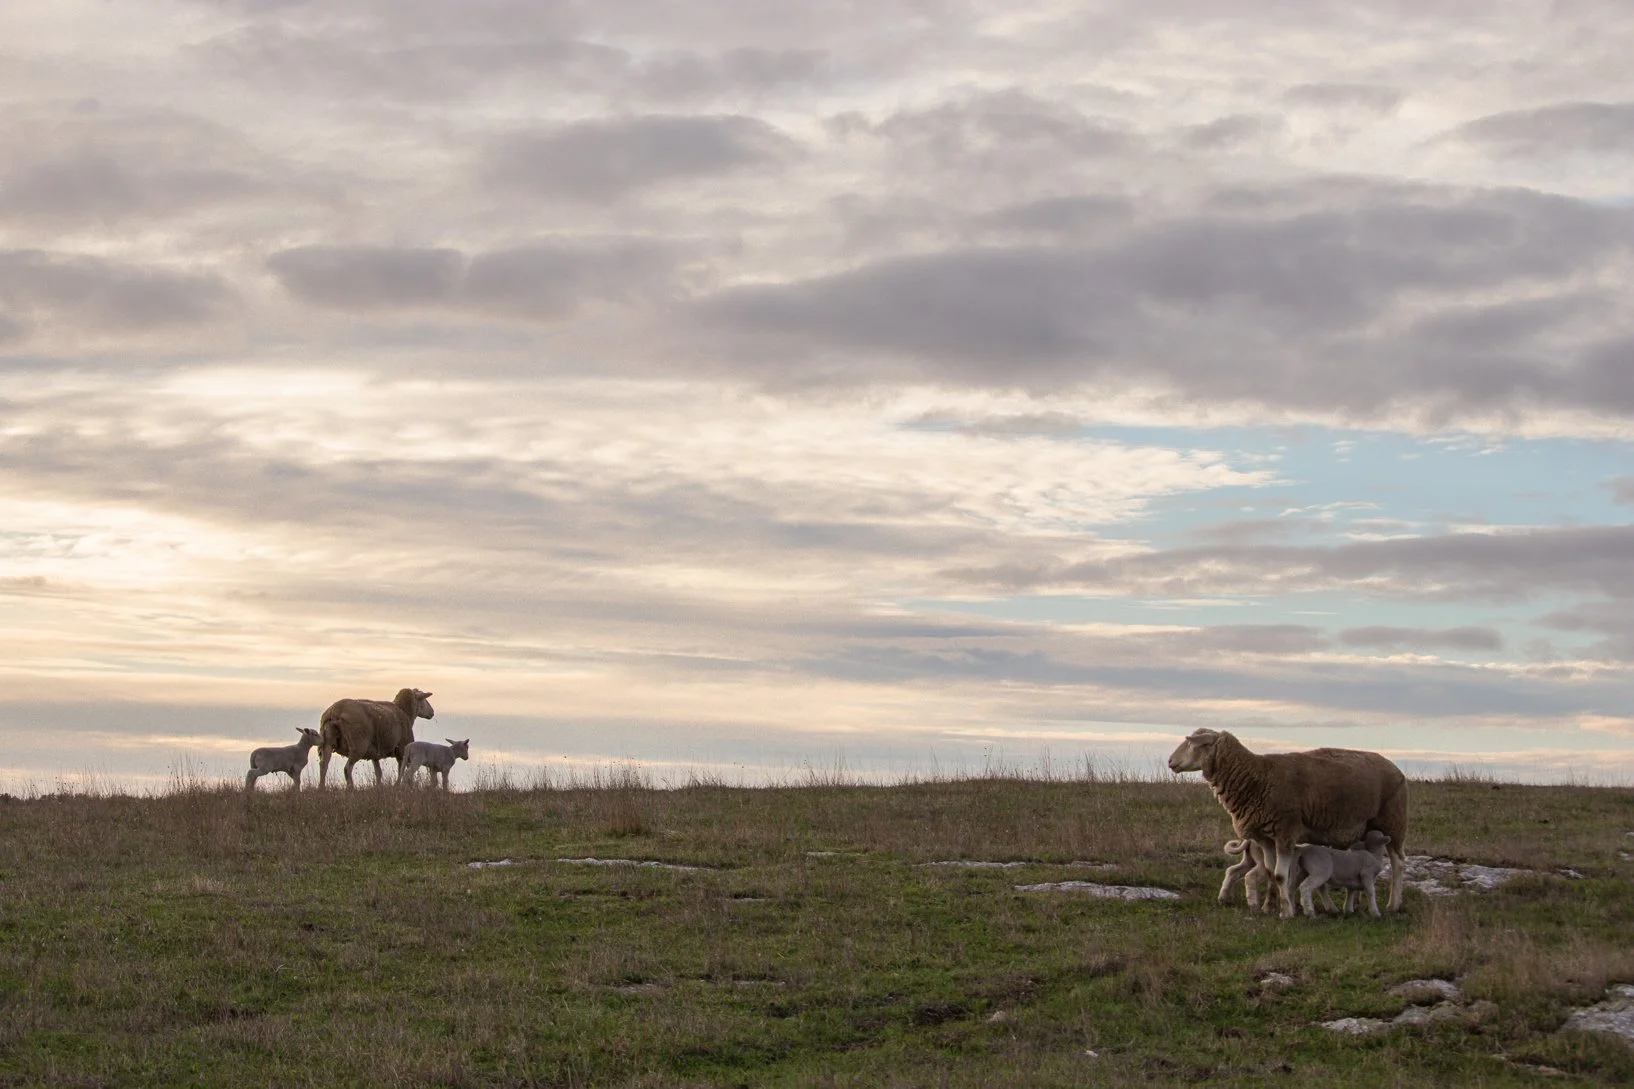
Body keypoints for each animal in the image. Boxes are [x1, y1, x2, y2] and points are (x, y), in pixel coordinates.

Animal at [1168, 727, 1409, 918]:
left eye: (1192, 743)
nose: (1170, 761)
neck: (1257, 776)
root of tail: (1394, 767)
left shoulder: (1285, 831)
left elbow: (1280, 874)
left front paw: (1286, 912)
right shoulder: (1265, 837)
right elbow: (1270, 871)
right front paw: (1269, 907)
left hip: (1393, 821)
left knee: (1398, 863)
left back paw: (1394, 905)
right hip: (1364, 828)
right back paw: (1356, 903)